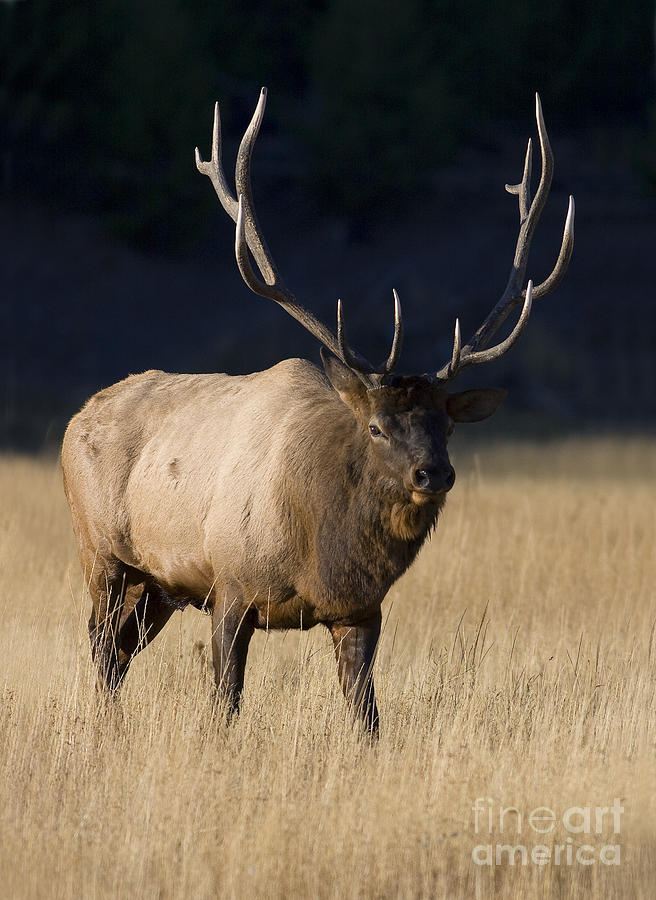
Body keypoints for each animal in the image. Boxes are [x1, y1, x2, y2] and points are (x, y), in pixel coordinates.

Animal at [61, 88, 576, 736]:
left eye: (448, 425)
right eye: (376, 427)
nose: (433, 473)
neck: (320, 552)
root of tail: (76, 418)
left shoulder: (360, 611)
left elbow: (366, 716)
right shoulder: (229, 586)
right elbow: (225, 705)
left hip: (156, 583)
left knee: (121, 650)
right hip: (100, 551)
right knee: (102, 646)